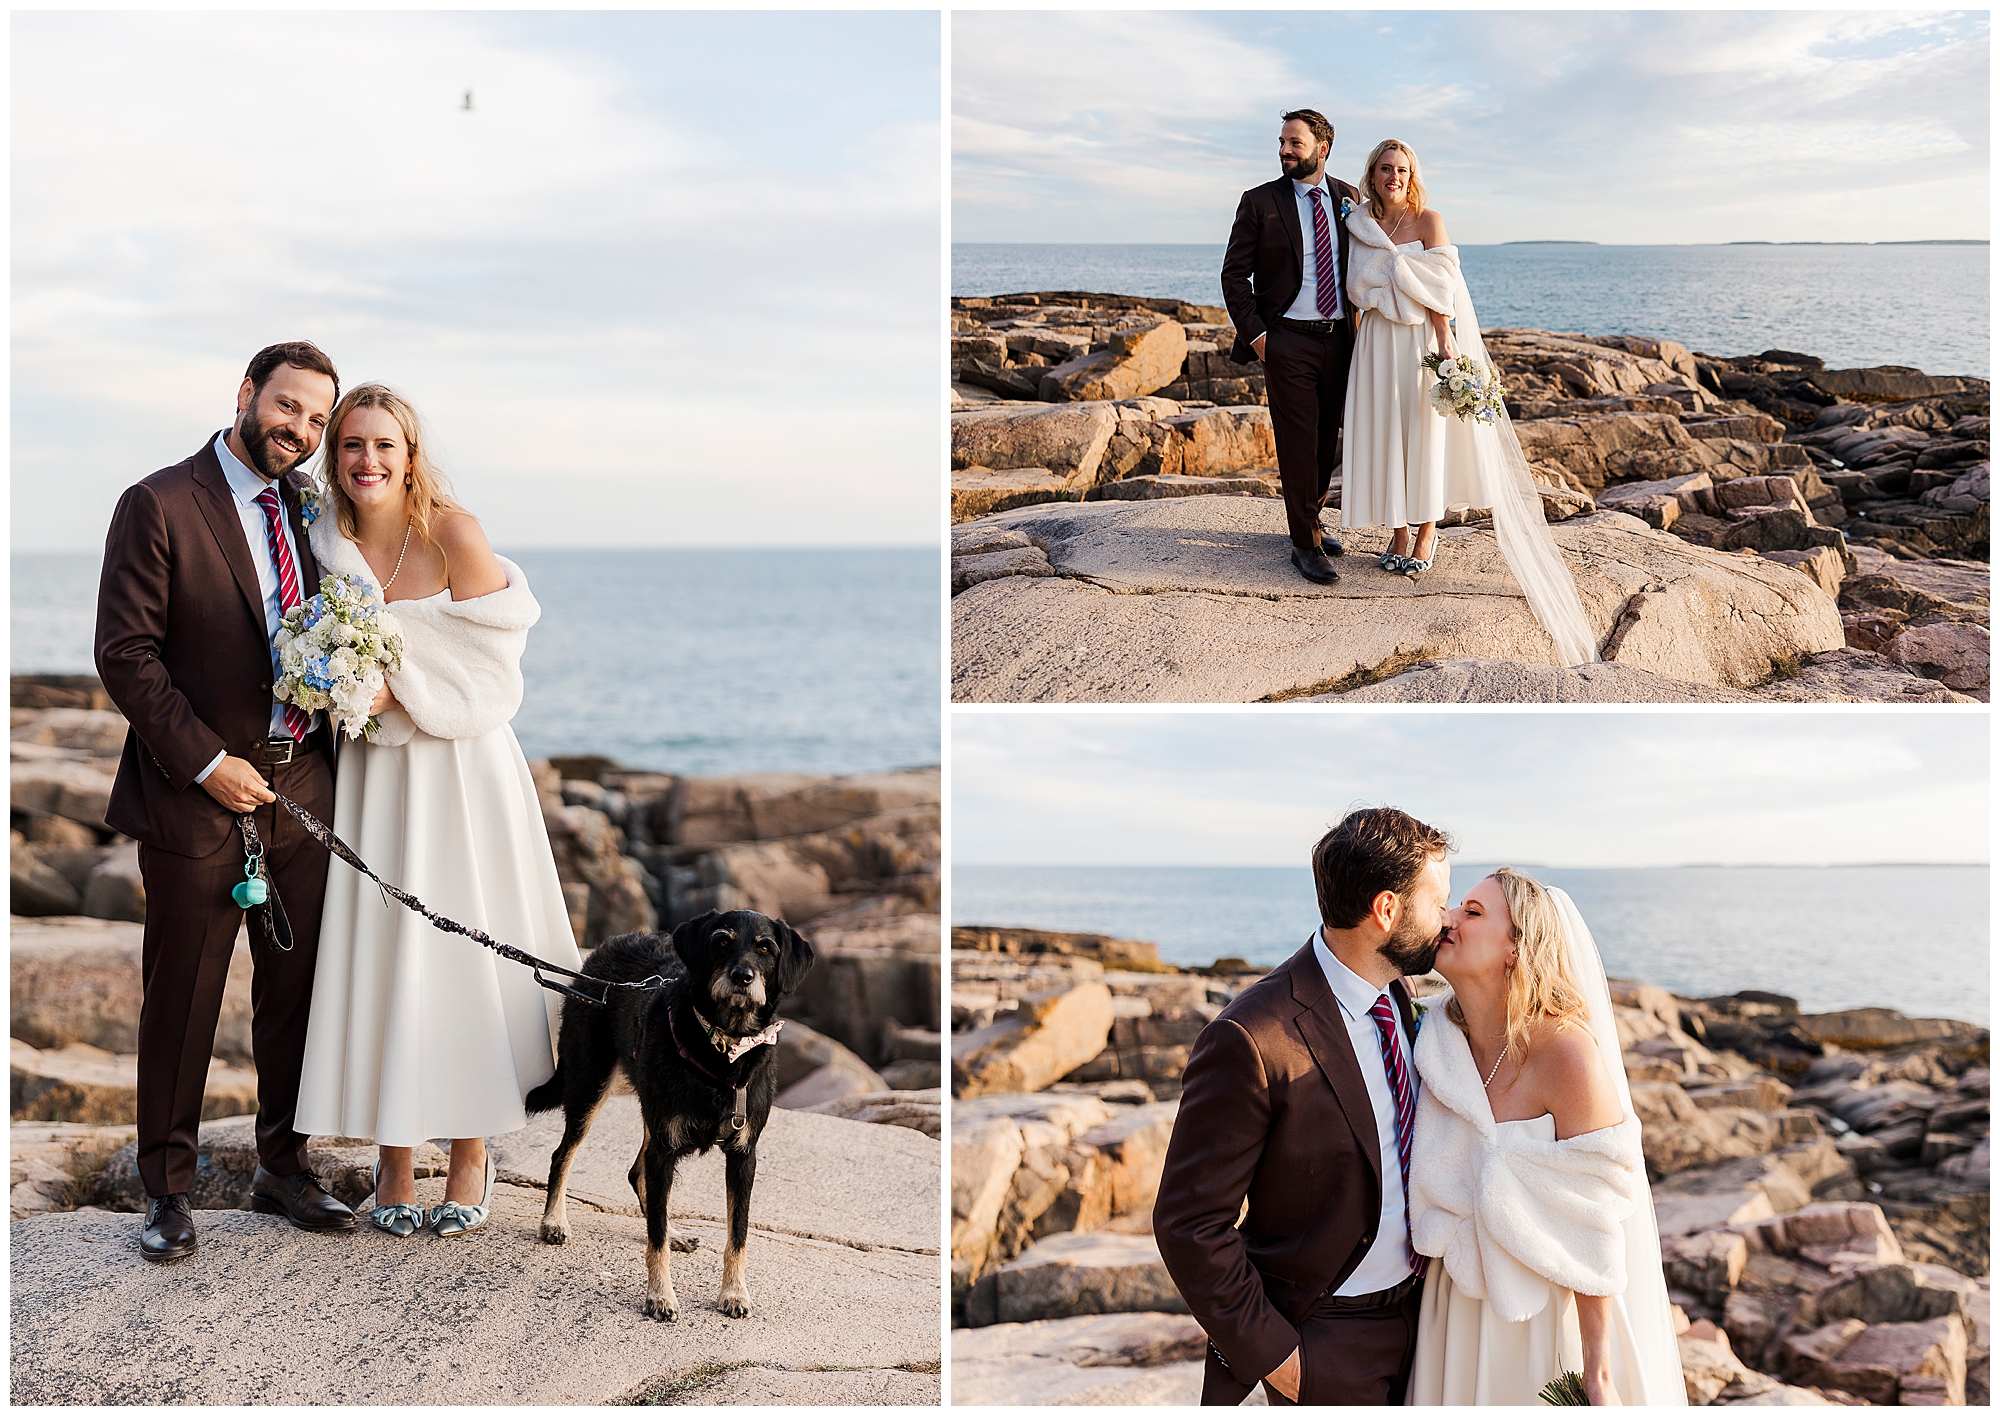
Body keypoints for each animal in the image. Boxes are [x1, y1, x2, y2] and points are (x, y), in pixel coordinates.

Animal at [532, 912, 820, 1320]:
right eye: (721, 942)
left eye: (766, 948)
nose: (742, 976)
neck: (725, 1049)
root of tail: (608, 946)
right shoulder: (666, 1148)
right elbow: (654, 1238)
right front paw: (660, 1295)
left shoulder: (742, 1156)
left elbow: (738, 1233)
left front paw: (734, 1293)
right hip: (590, 1086)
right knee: (564, 1154)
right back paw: (554, 1221)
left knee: (638, 1175)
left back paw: (674, 1232)